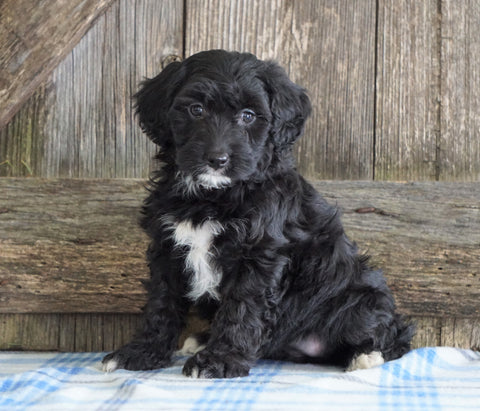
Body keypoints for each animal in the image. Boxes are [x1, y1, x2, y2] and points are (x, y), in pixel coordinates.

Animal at [103, 50, 414, 378]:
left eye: (248, 115)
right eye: (196, 110)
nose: (217, 159)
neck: (212, 196)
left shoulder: (259, 255)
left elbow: (241, 308)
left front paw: (219, 361)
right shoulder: (167, 249)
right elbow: (162, 302)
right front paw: (142, 352)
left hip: (357, 298)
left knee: (393, 334)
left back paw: (366, 355)